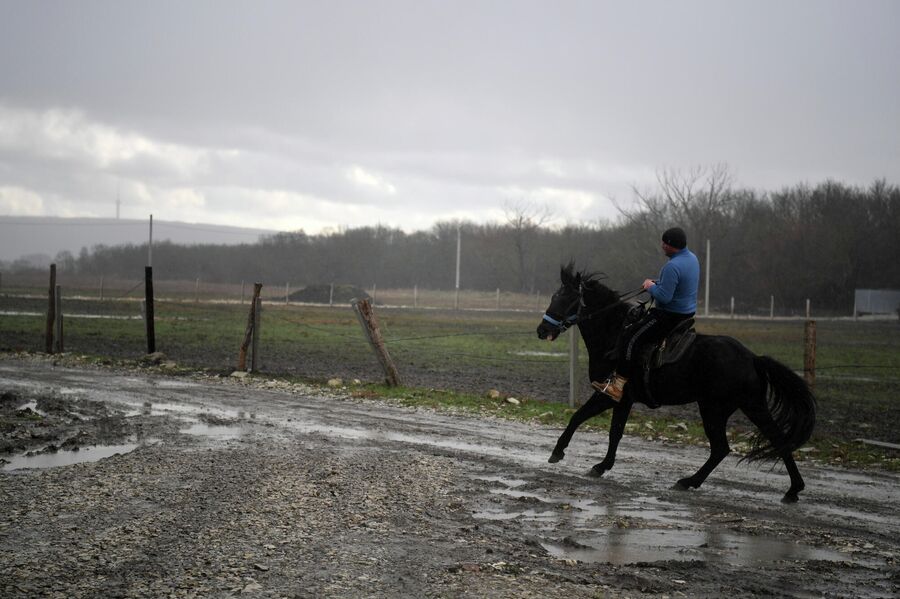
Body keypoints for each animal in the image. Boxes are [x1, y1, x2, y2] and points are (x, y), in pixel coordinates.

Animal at [536, 264, 820, 504]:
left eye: (565, 298)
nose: (542, 330)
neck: (615, 334)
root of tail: (751, 358)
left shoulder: (611, 395)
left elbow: (587, 420)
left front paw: (564, 454)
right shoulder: (621, 400)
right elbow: (605, 428)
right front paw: (593, 463)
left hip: (716, 409)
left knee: (727, 446)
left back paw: (690, 481)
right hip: (747, 406)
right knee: (766, 441)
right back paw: (791, 489)